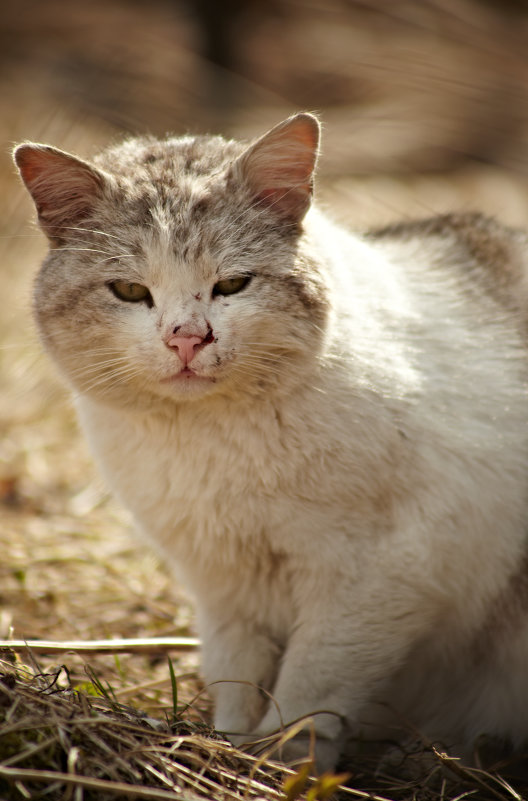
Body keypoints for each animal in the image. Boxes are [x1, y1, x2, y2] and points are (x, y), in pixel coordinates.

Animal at [13, 112, 528, 768]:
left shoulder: (385, 571)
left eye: (233, 283)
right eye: (129, 292)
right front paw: (231, 747)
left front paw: (281, 765)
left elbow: (312, 684)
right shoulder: (221, 583)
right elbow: (235, 674)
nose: (187, 338)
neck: (211, 440)